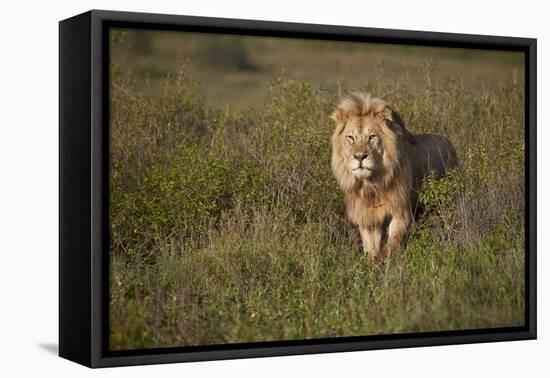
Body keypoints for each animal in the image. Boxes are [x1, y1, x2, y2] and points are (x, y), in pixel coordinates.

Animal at [334, 93, 460, 262]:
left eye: (372, 137)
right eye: (351, 138)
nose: (360, 157)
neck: (372, 184)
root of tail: (449, 142)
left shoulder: (401, 211)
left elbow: (392, 244)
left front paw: (385, 260)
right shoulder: (368, 217)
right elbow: (370, 248)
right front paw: (371, 265)